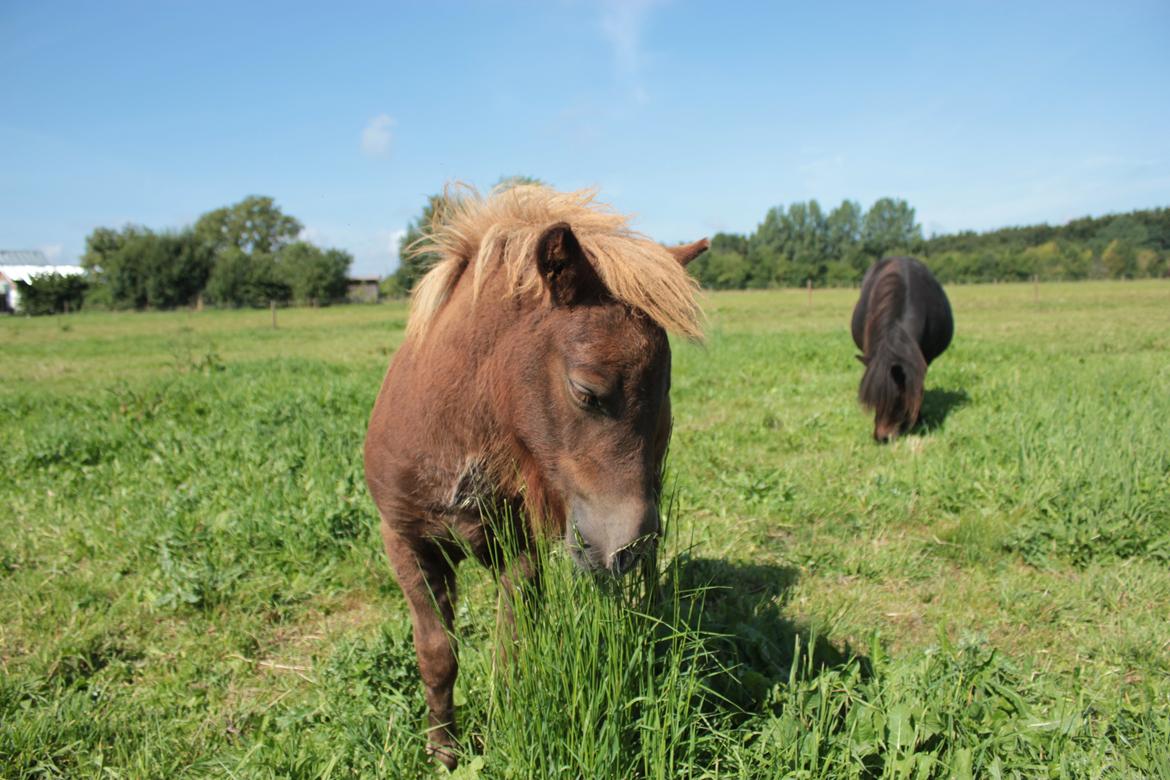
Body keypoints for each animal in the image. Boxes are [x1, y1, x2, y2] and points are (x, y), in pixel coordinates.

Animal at [360, 184, 702, 767]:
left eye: (665, 391)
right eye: (586, 390)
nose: (623, 548)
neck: (453, 435)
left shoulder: (516, 551)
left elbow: (512, 653)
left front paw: (499, 737)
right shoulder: (405, 543)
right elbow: (436, 654)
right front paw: (443, 752)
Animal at [851, 254, 950, 439]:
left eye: (897, 398)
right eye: (873, 399)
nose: (882, 437)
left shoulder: (923, 359)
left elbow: (917, 385)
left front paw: (918, 418)